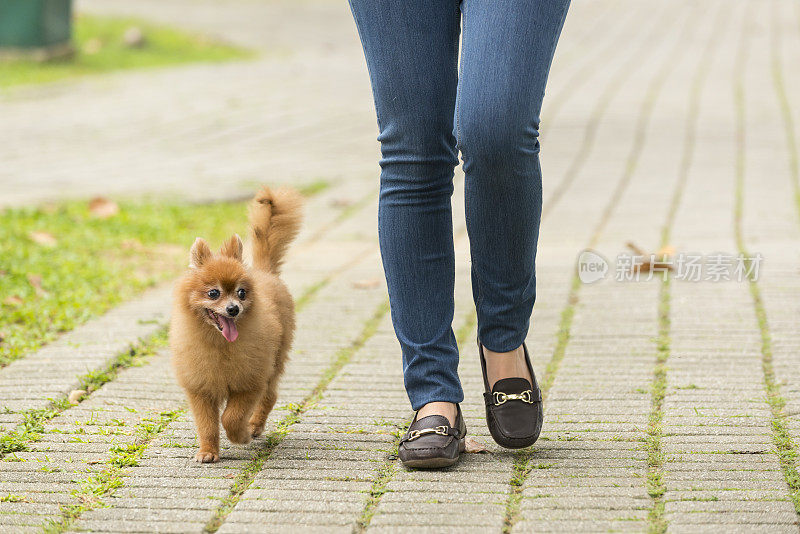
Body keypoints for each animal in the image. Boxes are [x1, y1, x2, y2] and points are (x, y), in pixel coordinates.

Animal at [170, 188, 302, 464]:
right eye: (213, 293)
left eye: (241, 293)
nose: (233, 309)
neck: (220, 345)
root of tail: (265, 272)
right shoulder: (201, 390)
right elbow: (207, 425)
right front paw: (208, 451)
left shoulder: (249, 383)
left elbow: (230, 417)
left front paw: (241, 436)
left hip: (274, 363)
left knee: (270, 396)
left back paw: (254, 426)